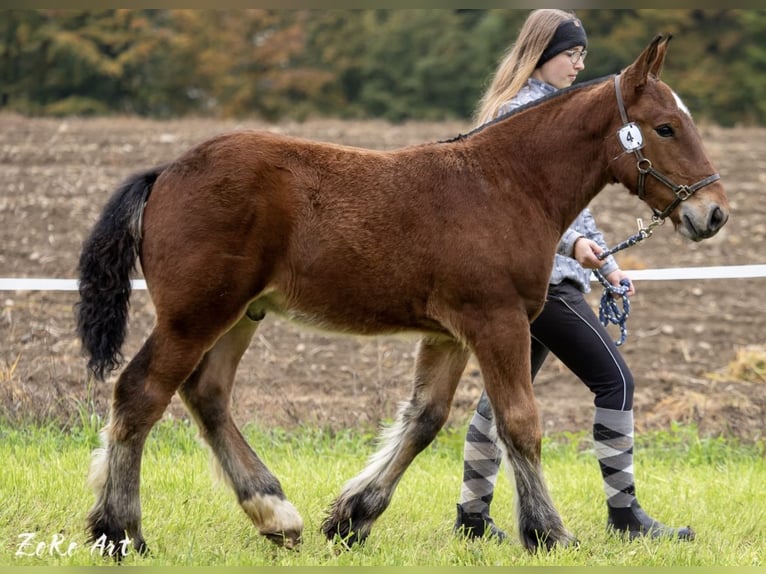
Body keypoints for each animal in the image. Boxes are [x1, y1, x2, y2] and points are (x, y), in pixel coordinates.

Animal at [76, 37, 728, 560]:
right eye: (665, 127)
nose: (713, 213)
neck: (505, 185)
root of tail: (164, 173)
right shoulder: (497, 321)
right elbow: (519, 423)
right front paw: (549, 533)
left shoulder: (450, 334)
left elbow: (426, 420)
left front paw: (352, 518)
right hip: (195, 314)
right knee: (141, 393)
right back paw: (120, 533)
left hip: (240, 314)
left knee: (206, 394)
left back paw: (275, 514)